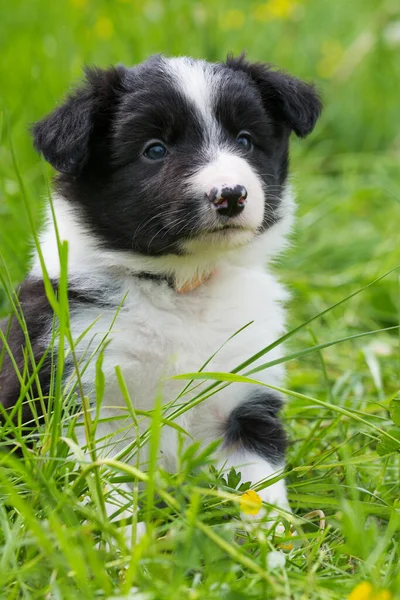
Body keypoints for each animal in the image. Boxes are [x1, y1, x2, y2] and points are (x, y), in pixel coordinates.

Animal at [0, 56, 320, 524]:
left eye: (245, 140)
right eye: (154, 150)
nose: (230, 195)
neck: (181, 287)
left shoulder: (243, 397)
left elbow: (259, 488)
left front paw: (280, 538)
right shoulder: (85, 399)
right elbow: (104, 486)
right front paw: (127, 536)